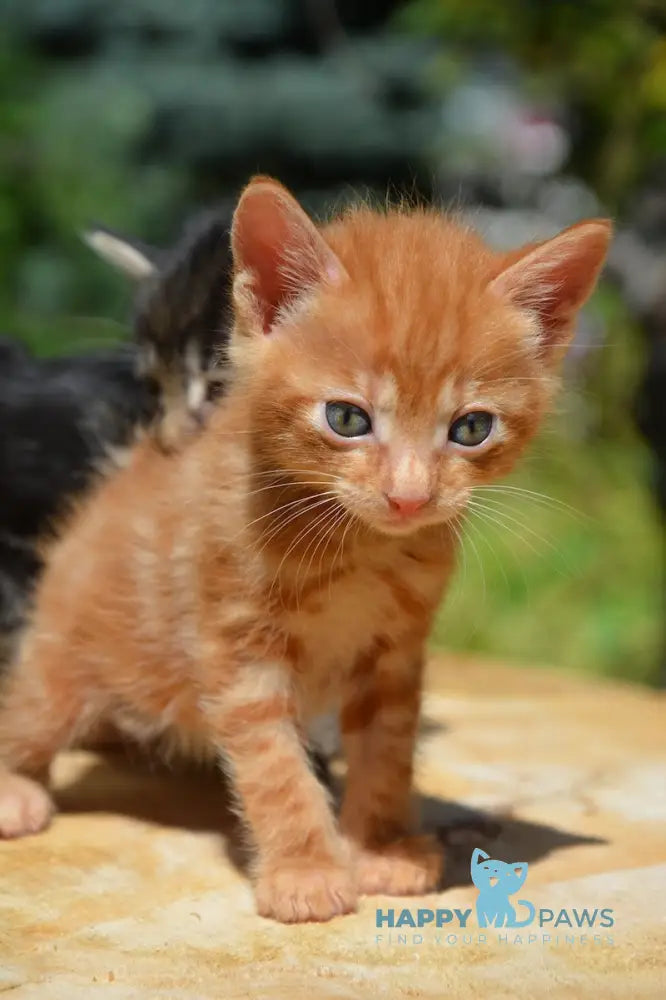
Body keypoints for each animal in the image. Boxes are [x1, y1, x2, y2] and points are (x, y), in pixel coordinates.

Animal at [0, 178, 608, 920]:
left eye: (471, 428)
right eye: (347, 418)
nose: (410, 497)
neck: (357, 549)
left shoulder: (394, 657)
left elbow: (387, 754)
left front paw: (379, 847)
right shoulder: (240, 655)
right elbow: (275, 770)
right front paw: (307, 871)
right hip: (66, 653)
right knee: (29, 709)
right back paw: (16, 788)